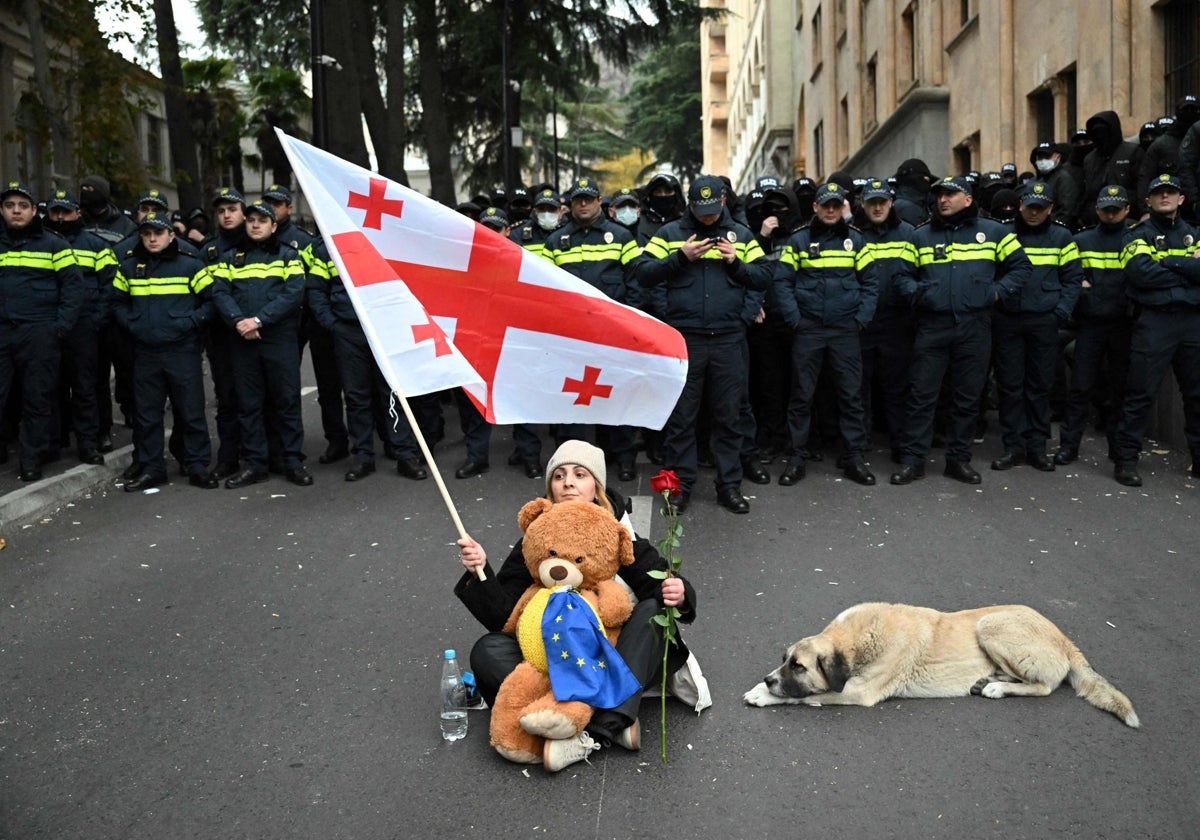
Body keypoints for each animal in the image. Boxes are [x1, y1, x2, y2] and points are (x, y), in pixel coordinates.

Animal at [739, 600, 1142, 724]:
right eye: (784, 660)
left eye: (799, 667)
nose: (770, 678)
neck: (859, 638)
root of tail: (1065, 638)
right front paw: (762, 685)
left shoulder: (857, 692)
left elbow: (805, 696)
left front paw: (764, 694)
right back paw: (990, 680)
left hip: (990, 624)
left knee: (1043, 687)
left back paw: (997, 687)